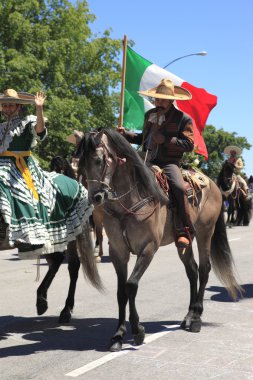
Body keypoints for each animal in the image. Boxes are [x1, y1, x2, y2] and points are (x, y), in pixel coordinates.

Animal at [78, 129, 242, 352]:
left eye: (99, 160)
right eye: (81, 163)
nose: (96, 197)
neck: (130, 202)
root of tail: (214, 186)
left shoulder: (148, 248)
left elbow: (131, 285)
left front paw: (138, 331)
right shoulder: (118, 252)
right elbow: (121, 292)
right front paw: (118, 335)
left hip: (205, 233)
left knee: (204, 269)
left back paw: (197, 318)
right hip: (185, 241)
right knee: (192, 271)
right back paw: (189, 316)